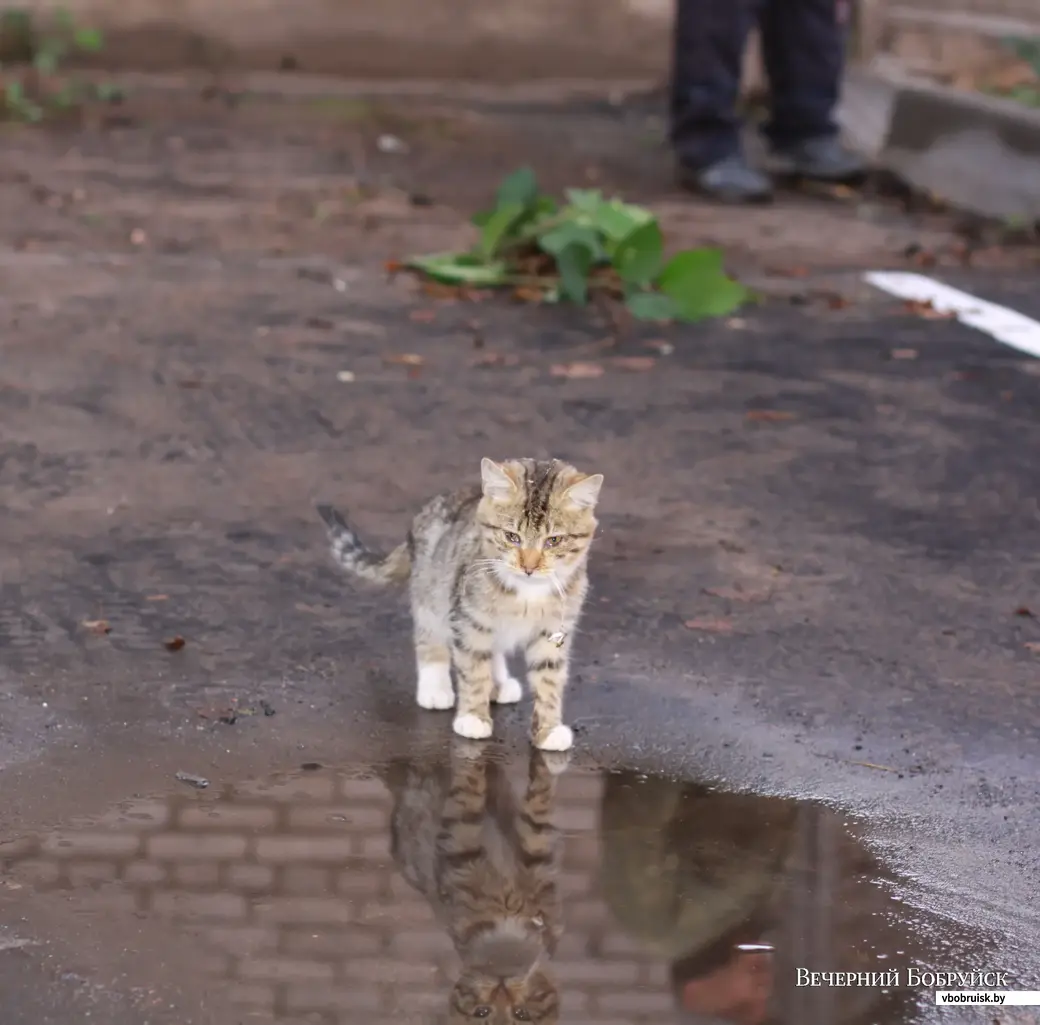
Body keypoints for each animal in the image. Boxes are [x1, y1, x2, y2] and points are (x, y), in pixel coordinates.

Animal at [320, 455, 607, 752]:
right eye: (511, 537)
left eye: (554, 540)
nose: (528, 567)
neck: (527, 593)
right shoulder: (469, 618)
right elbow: (473, 668)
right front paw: (473, 717)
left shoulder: (554, 630)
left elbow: (549, 678)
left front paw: (548, 730)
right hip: (431, 591)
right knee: (430, 635)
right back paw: (435, 687)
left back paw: (499, 683)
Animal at [382, 744, 565, 1022]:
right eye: (482, 1012)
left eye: (521, 1014)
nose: (501, 986)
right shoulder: (465, 843)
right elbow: (472, 788)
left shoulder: (535, 863)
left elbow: (535, 802)